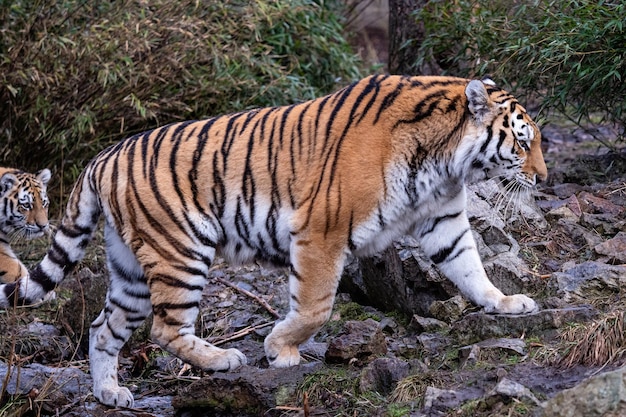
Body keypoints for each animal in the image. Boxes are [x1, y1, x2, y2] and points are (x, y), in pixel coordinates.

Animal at [0, 73, 544, 404]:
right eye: (522, 142)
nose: (541, 177)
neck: (445, 161)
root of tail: (101, 158)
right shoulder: (322, 230)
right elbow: (315, 306)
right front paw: (279, 350)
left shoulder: (443, 222)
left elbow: (470, 269)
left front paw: (506, 302)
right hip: (181, 250)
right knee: (164, 329)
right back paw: (223, 359)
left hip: (131, 269)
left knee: (102, 328)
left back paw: (110, 394)